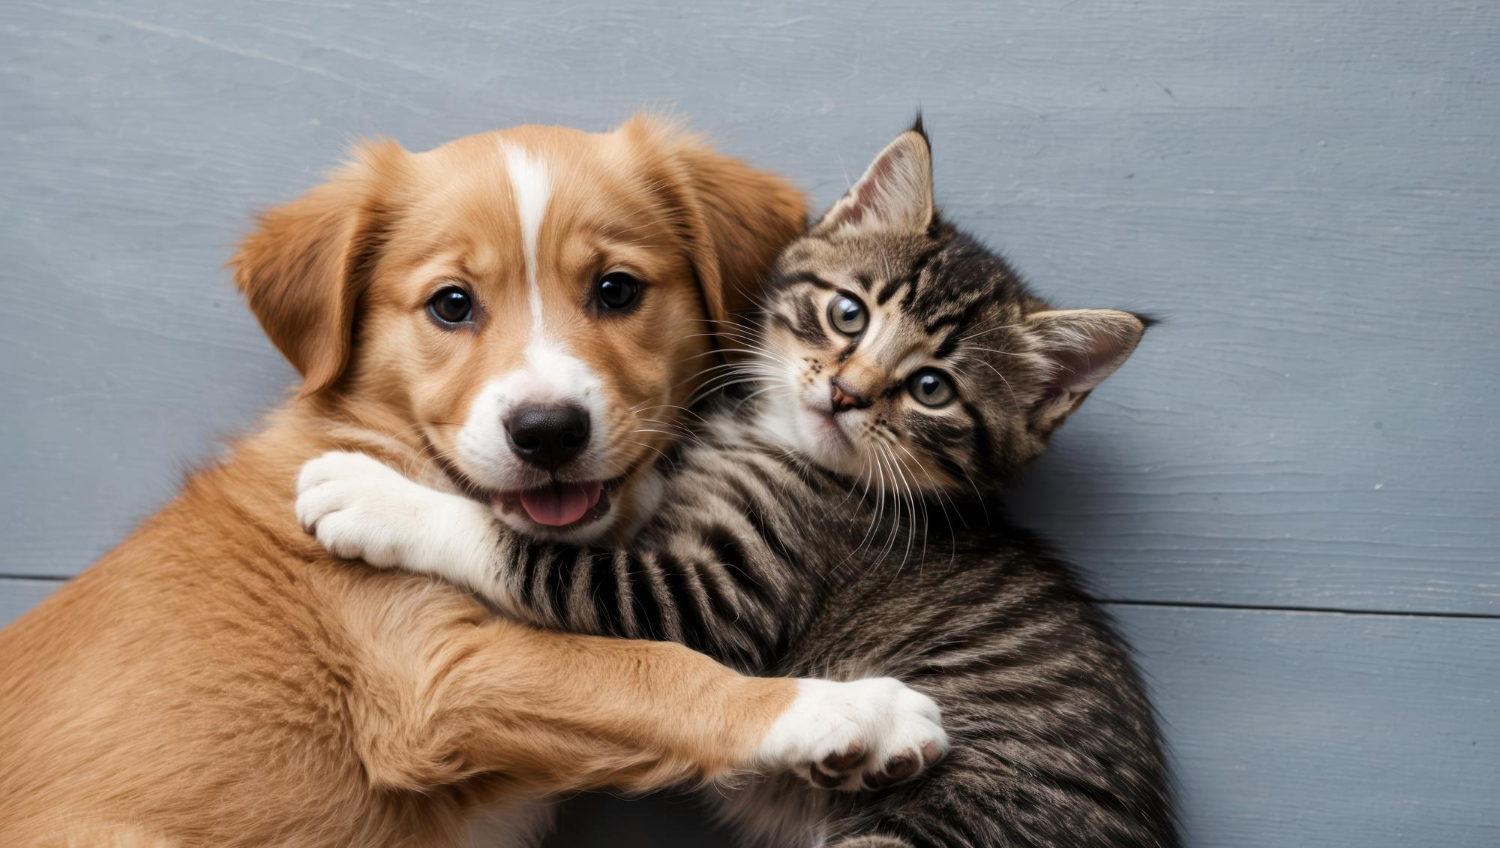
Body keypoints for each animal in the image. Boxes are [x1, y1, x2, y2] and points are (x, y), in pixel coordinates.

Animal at [0, 119, 948, 846]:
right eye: (451, 304)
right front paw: (849, 714)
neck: (383, 435)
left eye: (616, 290)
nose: (548, 431)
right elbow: (652, 668)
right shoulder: (435, 676)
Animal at [295, 120, 1182, 846]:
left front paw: (373, 498)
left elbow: (532, 553)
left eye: (932, 388)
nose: (846, 392)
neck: (771, 441)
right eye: (849, 313)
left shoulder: (721, 596)